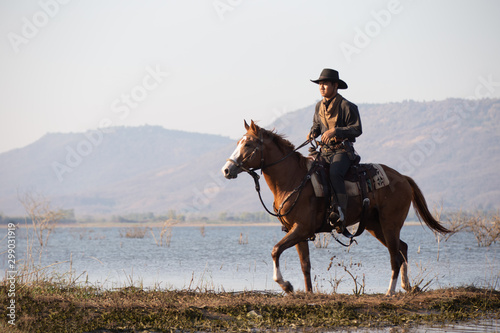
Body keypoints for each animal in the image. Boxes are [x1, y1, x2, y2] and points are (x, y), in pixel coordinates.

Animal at [221, 120, 452, 296]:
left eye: (248, 144)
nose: (226, 169)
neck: (294, 179)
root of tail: (403, 178)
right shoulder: (297, 232)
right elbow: (305, 265)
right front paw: (308, 293)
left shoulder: (302, 228)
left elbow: (275, 250)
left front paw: (286, 285)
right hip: (375, 225)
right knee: (402, 248)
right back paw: (407, 286)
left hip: (390, 224)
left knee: (395, 256)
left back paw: (390, 291)